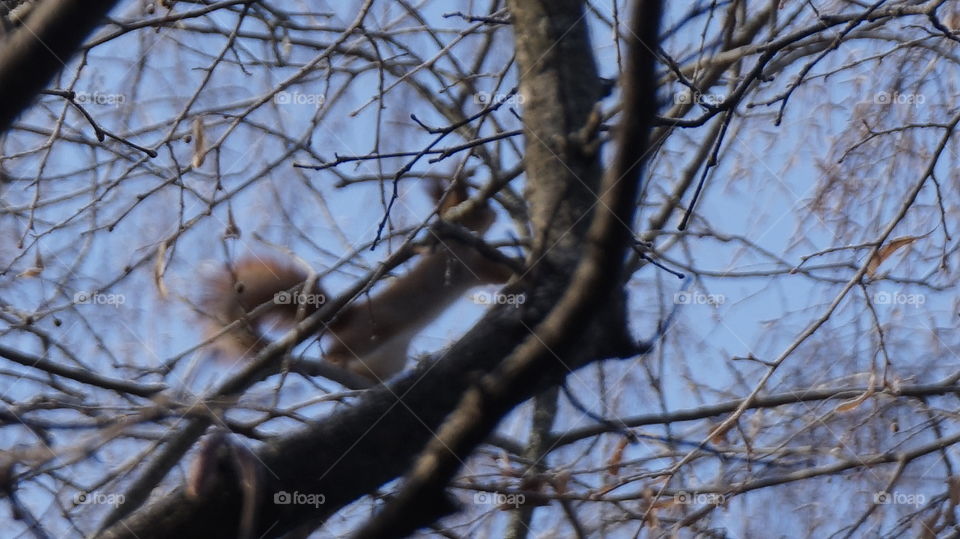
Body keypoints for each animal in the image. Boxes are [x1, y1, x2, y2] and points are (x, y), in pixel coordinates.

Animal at [201, 181, 514, 382]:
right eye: (479, 206)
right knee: (334, 350)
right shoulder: (461, 260)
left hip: (389, 358)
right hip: (368, 332)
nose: (496, 213)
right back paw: (333, 361)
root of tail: (343, 318)